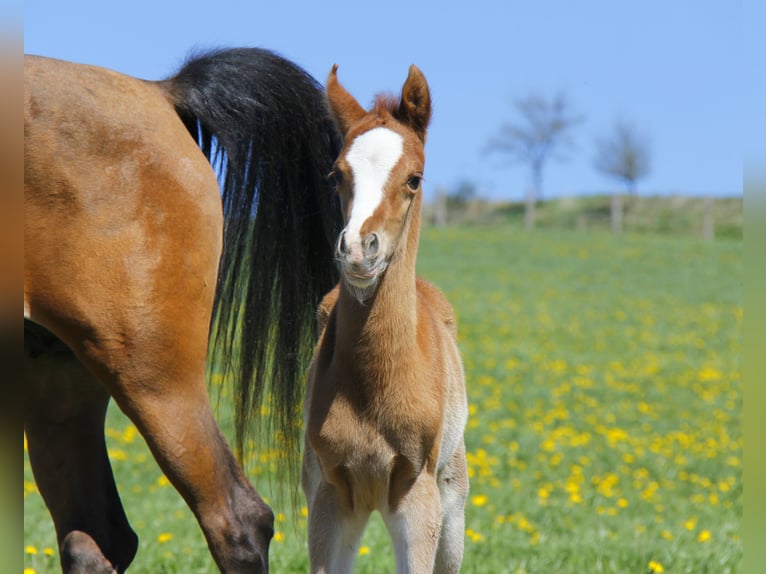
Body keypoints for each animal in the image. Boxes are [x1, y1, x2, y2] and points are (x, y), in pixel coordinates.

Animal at [302, 65, 469, 573]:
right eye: (335, 174)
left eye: (414, 178)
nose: (359, 248)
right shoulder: (329, 495)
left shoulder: (418, 494)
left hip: (453, 496)